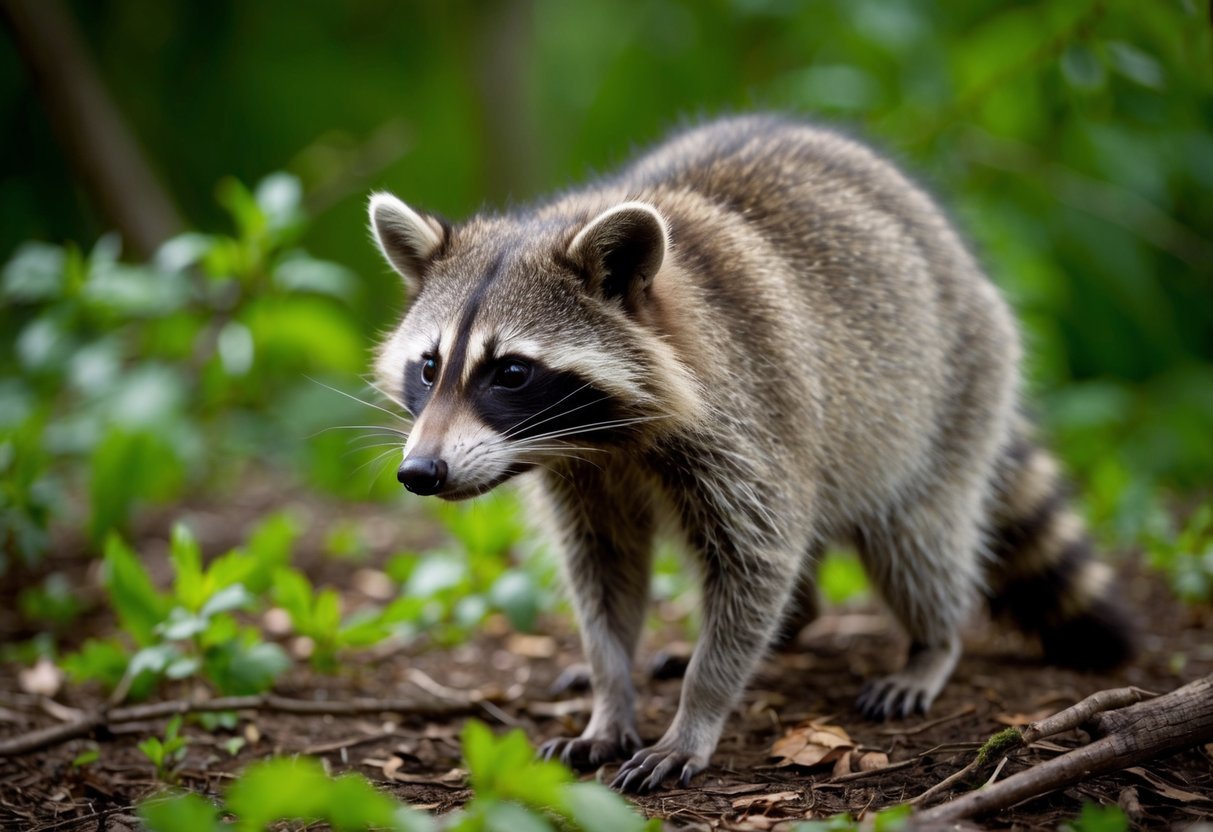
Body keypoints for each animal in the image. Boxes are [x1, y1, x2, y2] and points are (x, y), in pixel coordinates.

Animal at [367, 115, 1135, 792]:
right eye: (430, 367)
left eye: (511, 372)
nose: (420, 473)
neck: (605, 441)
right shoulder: (584, 480)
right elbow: (604, 578)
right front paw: (609, 696)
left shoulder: (749, 415)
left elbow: (756, 559)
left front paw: (698, 711)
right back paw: (794, 622)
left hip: (951, 393)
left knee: (915, 537)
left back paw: (931, 644)